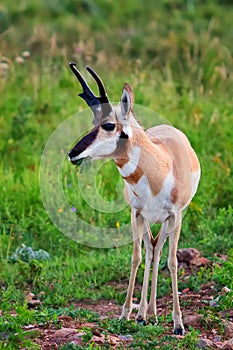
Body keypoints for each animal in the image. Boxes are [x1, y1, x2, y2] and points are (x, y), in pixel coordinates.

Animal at [67, 63, 200, 336]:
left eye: (109, 125)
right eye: (94, 121)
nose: (72, 153)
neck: (161, 167)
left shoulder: (176, 215)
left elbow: (172, 261)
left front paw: (179, 324)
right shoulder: (135, 214)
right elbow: (136, 257)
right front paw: (126, 314)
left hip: (168, 221)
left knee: (159, 251)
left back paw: (153, 315)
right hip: (148, 220)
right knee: (151, 250)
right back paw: (145, 315)